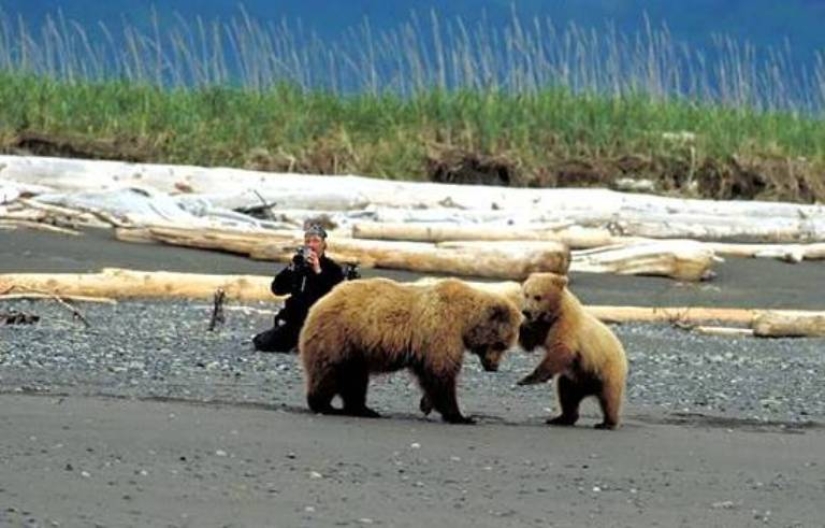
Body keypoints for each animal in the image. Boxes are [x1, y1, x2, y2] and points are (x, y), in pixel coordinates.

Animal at [298, 277, 522, 424]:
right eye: (500, 344)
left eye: (506, 346)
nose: (493, 366)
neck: (464, 320)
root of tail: (319, 303)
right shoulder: (441, 330)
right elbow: (442, 372)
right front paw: (460, 416)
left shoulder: (427, 345)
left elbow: (430, 375)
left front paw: (427, 404)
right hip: (340, 336)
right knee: (330, 373)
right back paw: (324, 405)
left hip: (356, 349)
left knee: (355, 379)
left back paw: (364, 409)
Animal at [517, 272, 628, 430]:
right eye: (526, 294)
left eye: (538, 296)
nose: (526, 311)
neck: (553, 314)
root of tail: (589, 389)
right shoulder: (543, 328)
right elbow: (529, 343)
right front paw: (524, 325)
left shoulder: (566, 324)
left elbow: (562, 348)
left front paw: (528, 379)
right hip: (575, 379)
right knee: (566, 394)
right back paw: (561, 418)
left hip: (606, 371)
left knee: (610, 398)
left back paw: (607, 423)